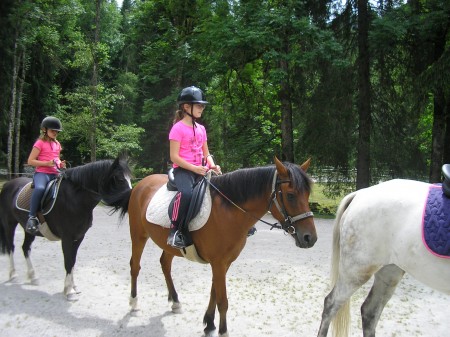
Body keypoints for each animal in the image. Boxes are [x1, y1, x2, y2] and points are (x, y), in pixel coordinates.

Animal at [0, 155, 132, 300]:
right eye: (120, 179)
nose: (131, 200)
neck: (75, 198)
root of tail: (8, 184)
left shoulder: (79, 237)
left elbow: (73, 260)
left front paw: (73, 286)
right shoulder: (67, 238)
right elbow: (68, 261)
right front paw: (69, 291)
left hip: (29, 230)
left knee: (25, 248)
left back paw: (33, 277)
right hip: (9, 224)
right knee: (11, 247)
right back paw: (13, 274)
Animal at [127, 156, 316, 334]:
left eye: (307, 194)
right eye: (290, 195)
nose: (310, 238)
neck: (229, 211)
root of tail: (141, 184)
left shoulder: (225, 262)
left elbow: (214, 292)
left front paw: (209, 323)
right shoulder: (218, 263)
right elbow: (223, 301)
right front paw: (223, 331)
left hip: (168, 246)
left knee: (165, 264)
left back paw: (175, 302)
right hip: (138, 236)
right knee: (135, 266)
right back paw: (134, 304)